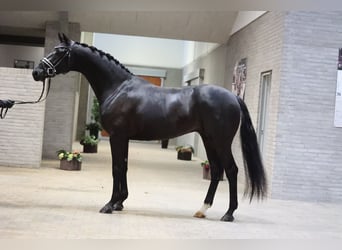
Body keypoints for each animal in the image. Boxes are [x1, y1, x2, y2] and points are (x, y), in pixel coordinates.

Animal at [32, 32, 268, 221]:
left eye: (60, 51)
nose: (37, 72)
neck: (118, 87)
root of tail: (233, 96)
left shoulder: (117, 136)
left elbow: (116, 168)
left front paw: (109, 205)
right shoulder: (123, 137)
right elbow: (124, 166)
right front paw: (120, 202)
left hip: (221, 142)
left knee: (231, 170)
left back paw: (228, 213)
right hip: (209, 139)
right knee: (217, 170)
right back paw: (202, 209)